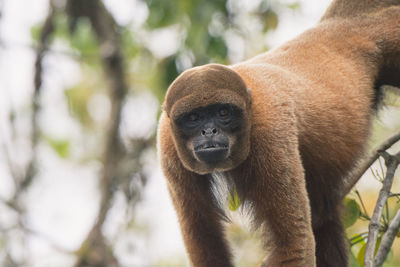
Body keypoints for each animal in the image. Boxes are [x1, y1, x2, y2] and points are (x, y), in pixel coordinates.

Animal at [156, 1, 400, 266]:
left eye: (223, 112)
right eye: (193, 118)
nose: (209, 130)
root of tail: (342, 23)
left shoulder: (269, 134)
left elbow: (294, 243)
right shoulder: (167, 145)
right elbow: (206, 241)